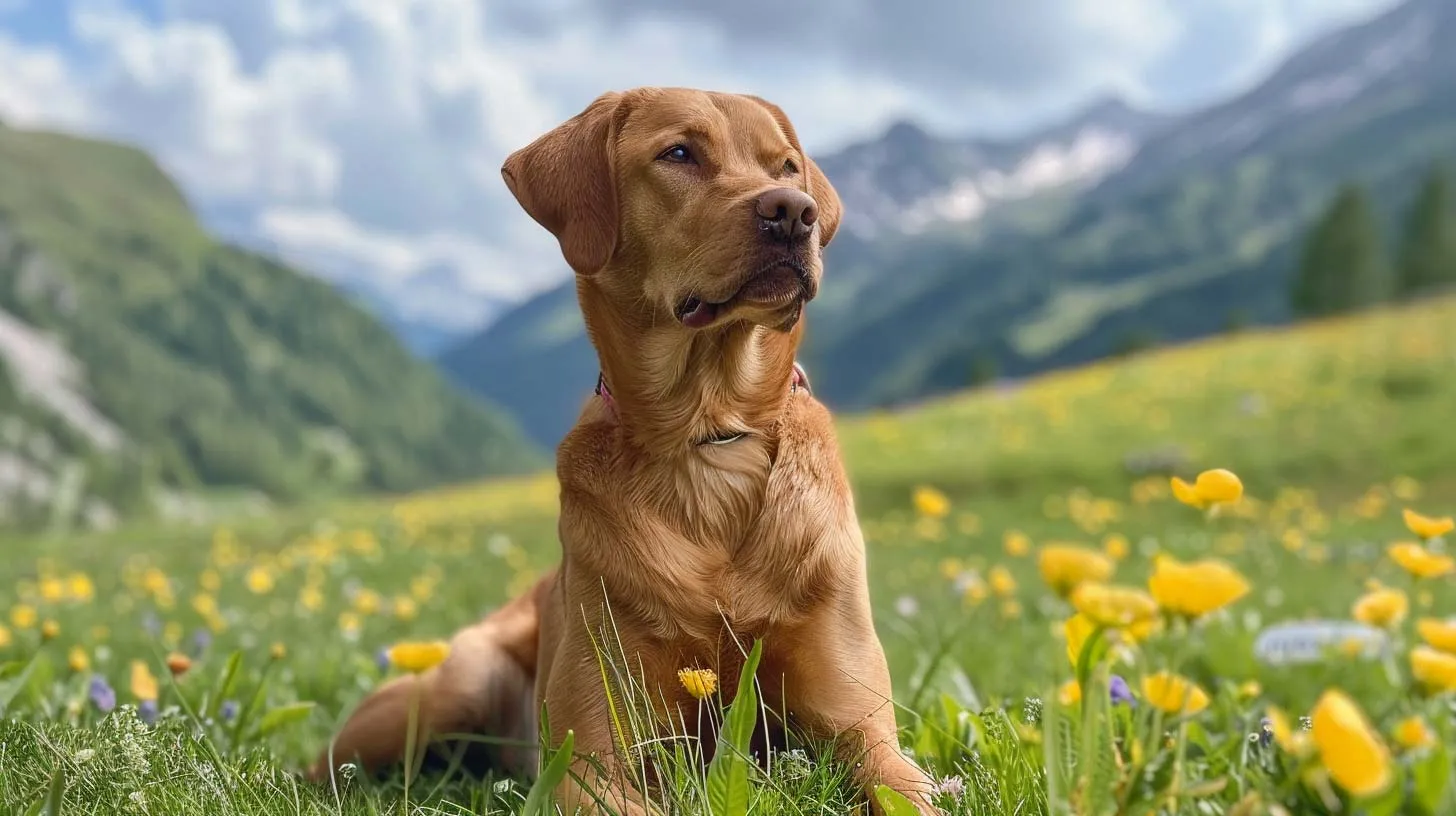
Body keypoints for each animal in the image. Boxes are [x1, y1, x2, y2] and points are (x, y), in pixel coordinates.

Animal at [311, 87, 937, 816]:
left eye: (786, 166)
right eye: (679, 153)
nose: (793, 212)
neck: (710, 436)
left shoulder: (863, 729)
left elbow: (902, 784)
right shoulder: (592, 759)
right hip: (450, 682)